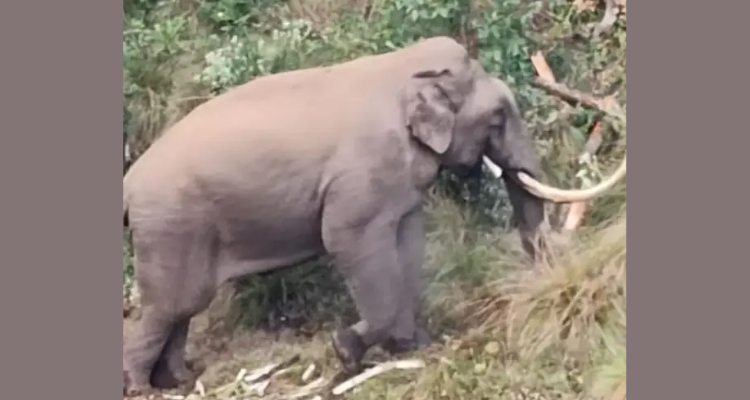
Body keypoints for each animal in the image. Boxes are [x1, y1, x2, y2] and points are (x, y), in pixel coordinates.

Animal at [122, 36, 626, 395]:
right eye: (499, 116)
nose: (552, 287)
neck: (403, 67)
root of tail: (128, 181)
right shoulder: (362, 176)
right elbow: (347, 238)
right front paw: (346, 350)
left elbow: (408, 242)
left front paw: (412, 345)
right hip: (171, 225)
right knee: (171, 304)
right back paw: (142, 387)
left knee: (184, 307)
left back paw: (178, 380)